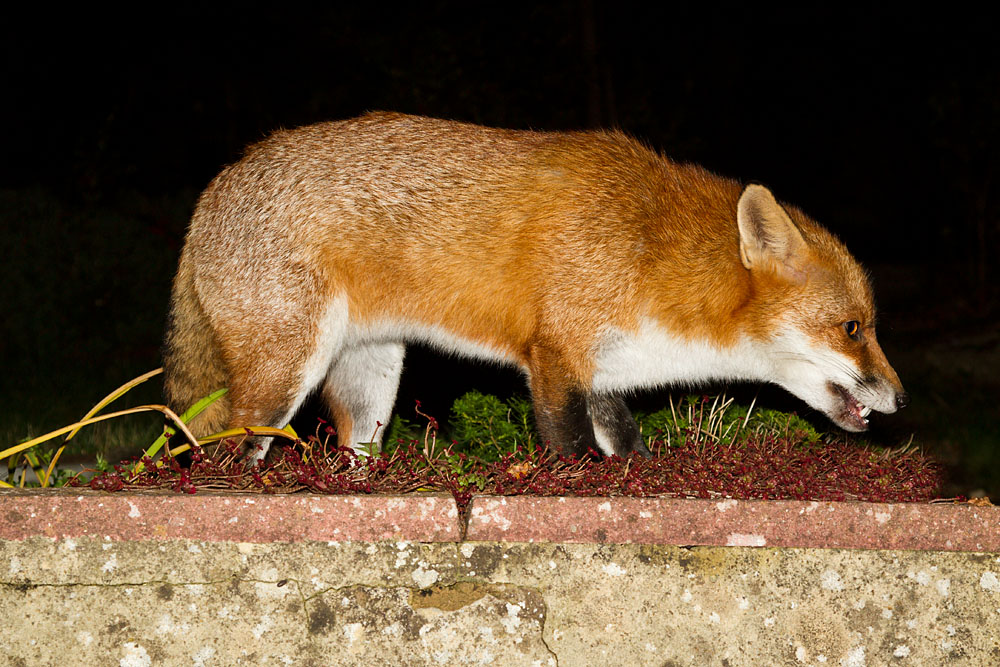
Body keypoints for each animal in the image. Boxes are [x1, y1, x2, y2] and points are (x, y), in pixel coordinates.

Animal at [163, 112, 907, 460]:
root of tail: (216, 185)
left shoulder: (603, 369)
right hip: (283, 373)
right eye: (853, 328)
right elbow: (570, 450)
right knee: (216, 447)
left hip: (371, 383)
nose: (902, 398)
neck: (648, 253)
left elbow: (627, 446)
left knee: (352, 451)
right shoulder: (554, 355)